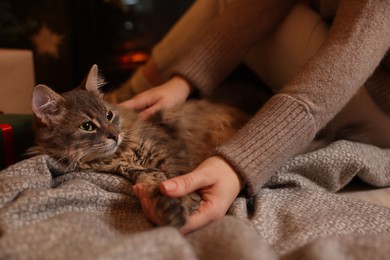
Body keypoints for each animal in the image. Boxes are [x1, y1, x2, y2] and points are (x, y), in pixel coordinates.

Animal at [27, 65, 248, 228]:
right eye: (87, 126)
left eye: (109, 115)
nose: (115, 135)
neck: (121, 154)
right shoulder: (140, 170)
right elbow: (156, 185)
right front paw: (170, 211)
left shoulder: (168, 151)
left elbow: (178, 176)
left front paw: (186, 204)